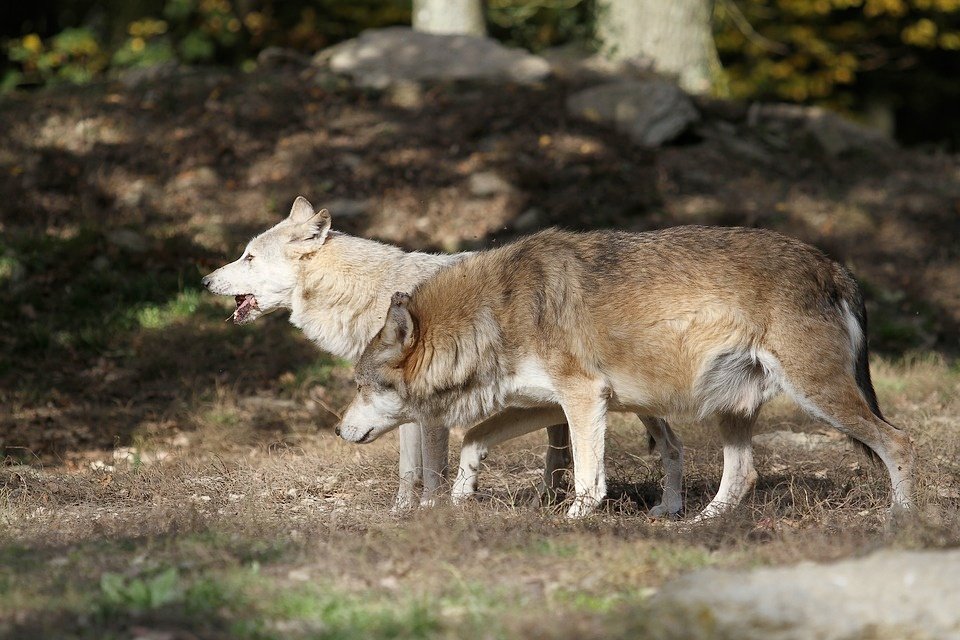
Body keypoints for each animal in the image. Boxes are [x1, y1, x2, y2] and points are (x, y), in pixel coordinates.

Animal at [199, 196, 688, 516]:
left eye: (248, 257)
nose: (204, 280)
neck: (374, 295)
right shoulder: (407, 410)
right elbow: (407, 470)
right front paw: (402, 512)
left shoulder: (428, 412)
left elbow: (429, 469)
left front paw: (430, 508)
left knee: (670, 447)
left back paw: (668, 509)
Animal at [338, 228, 916, 516]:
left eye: (362, 386)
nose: (339, 431)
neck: (494, 313)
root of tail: (833, 266)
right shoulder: (553, 403)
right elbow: (476, 439)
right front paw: (460, 499)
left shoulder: (582, 398)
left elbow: (588, 482)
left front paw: (573, 520)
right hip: (730, 408)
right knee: (743, 474)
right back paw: (699, 525)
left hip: (818, 396)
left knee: (899, 442)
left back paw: (903, 521)